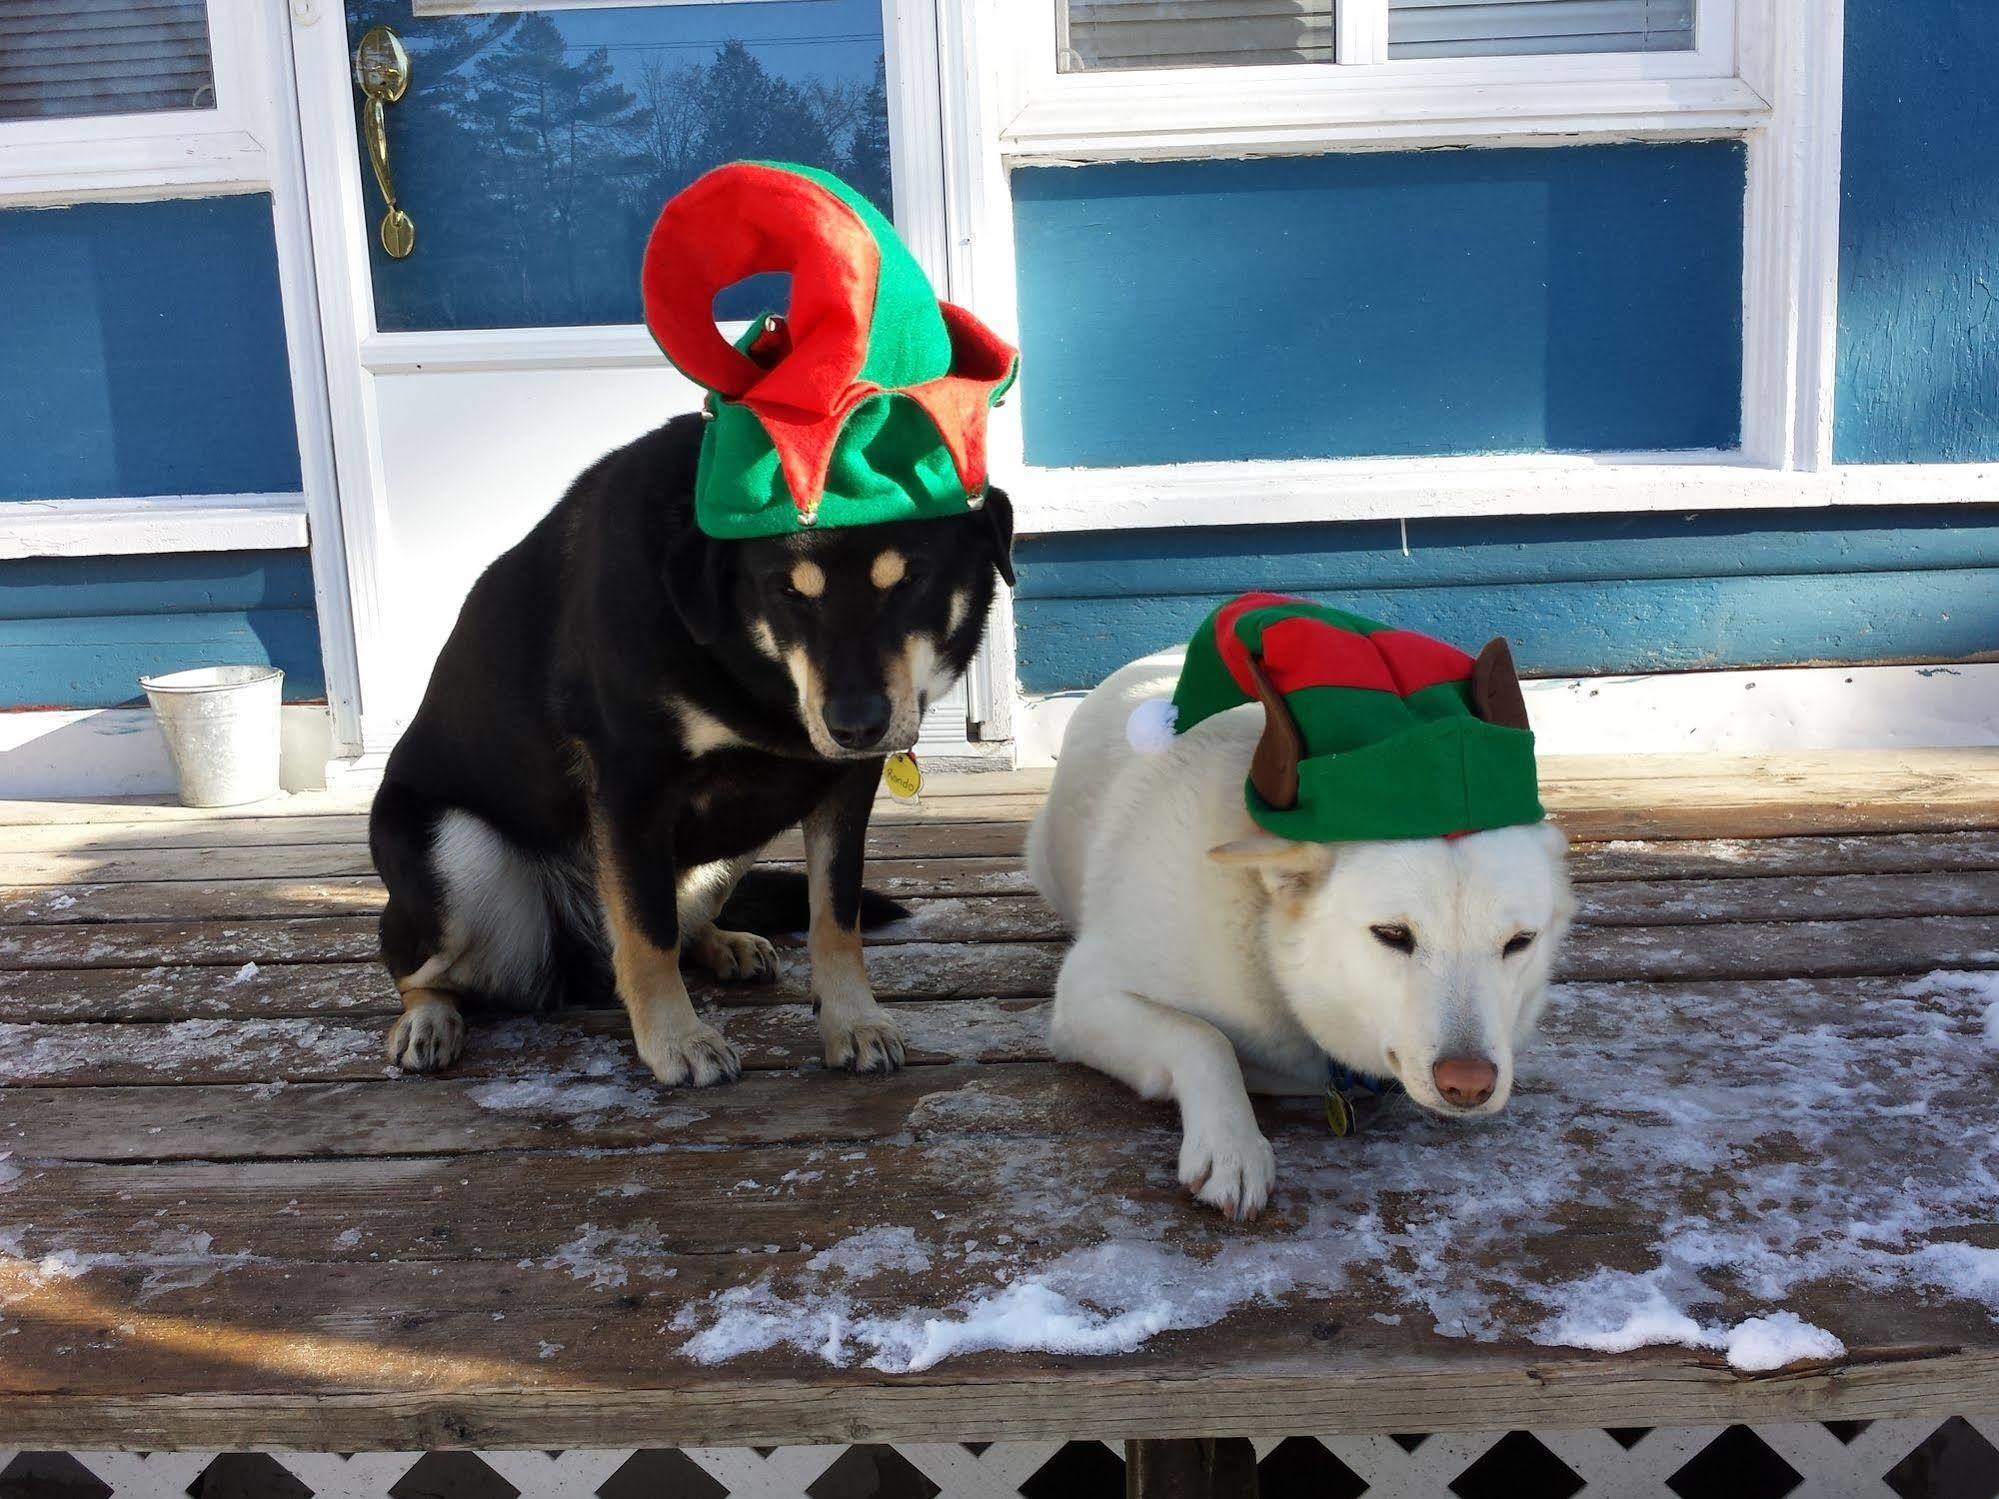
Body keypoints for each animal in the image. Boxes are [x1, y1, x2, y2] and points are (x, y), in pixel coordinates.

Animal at [365, 411, 1007, 1095]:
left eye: (910, 580)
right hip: (452, 857)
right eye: (786, 593)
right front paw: (676, 1040)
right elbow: (647, 933)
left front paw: (853, 1022)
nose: (855, 726)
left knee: (686, 918)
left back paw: (723, 943)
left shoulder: (844, 789)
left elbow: (836, 916)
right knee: (411, 964)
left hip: (734, 843)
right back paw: (428, 1018)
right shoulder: (632, 785)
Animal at [1031, 651, 1575, 1223]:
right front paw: (1231, 1144)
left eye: (1520, 941)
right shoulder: (1086, 993)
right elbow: (1202, 1037)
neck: (1269, 949)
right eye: (1392, 935)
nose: (1468, 1083)